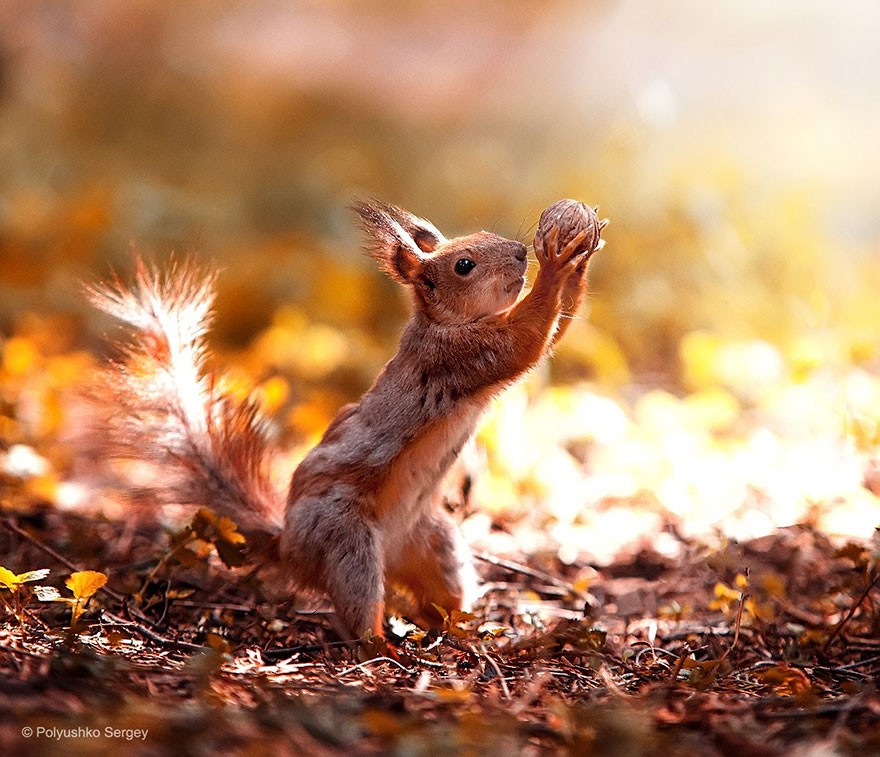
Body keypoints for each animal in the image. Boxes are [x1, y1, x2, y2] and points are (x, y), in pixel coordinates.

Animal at [89, 198, 604, 636]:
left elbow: (553, 333)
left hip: (434, 542)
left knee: (440, 594)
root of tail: (289, 548)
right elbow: (527, 340)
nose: (520, 252)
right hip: (346, 541)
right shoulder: (459, 357)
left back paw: (458, 630)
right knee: (359, 608)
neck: (444, 323)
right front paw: (557, 263)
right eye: (464, 265)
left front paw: (578, 256)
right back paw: (381, 645)